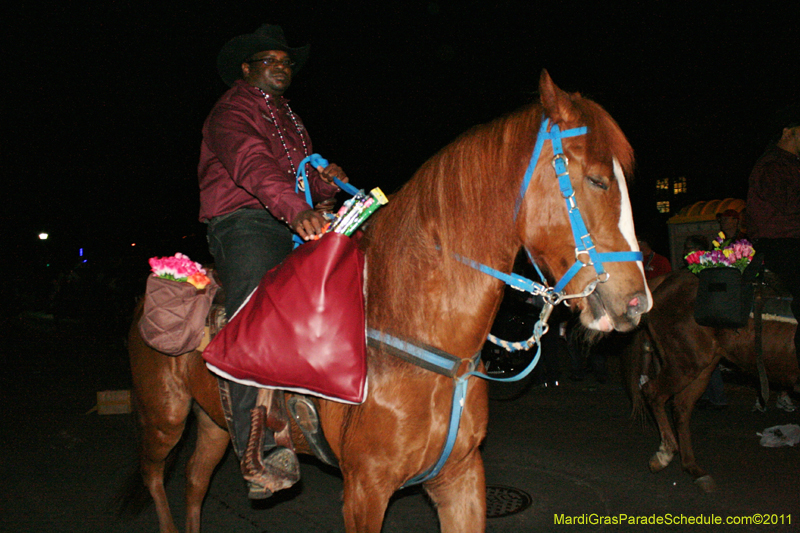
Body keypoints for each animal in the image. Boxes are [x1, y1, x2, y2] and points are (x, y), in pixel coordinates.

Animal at [125, 70, 648, 532]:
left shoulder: (461, 479)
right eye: (597, 180)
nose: (637, 303)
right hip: (163, 418)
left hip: (212, 422)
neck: (416, 330)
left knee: (195, 482)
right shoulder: (364, 490)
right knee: (155, 478)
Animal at [628, 268, 796, 492]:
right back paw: (664, 454)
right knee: (653, 392)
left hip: (703, 366)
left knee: (680, 407)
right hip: (685, 363)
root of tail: (668, 281)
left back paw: (693, 468)